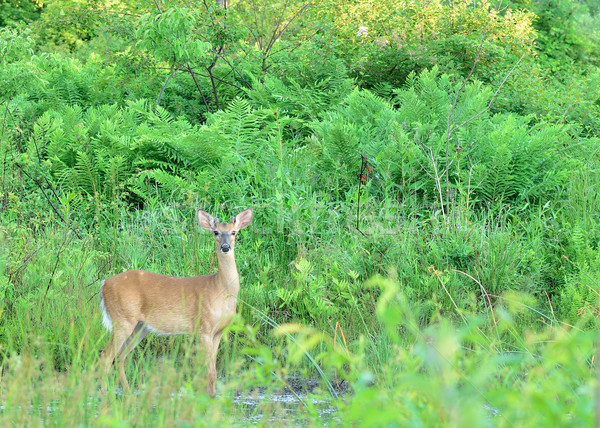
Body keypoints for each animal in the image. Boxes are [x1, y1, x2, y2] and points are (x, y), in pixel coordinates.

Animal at [97, 209, 252, 396]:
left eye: (234, 232)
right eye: (215, 232)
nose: (225, 247)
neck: (220, 290)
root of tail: (104, 284)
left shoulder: (218, 332)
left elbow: (213, 372)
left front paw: (212, 397)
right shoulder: (203, 328)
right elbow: (208, 371)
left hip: (140, 327)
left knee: (120, 357)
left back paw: (128, 395)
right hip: (122, 319)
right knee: (106, 356)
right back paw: (105, 397)